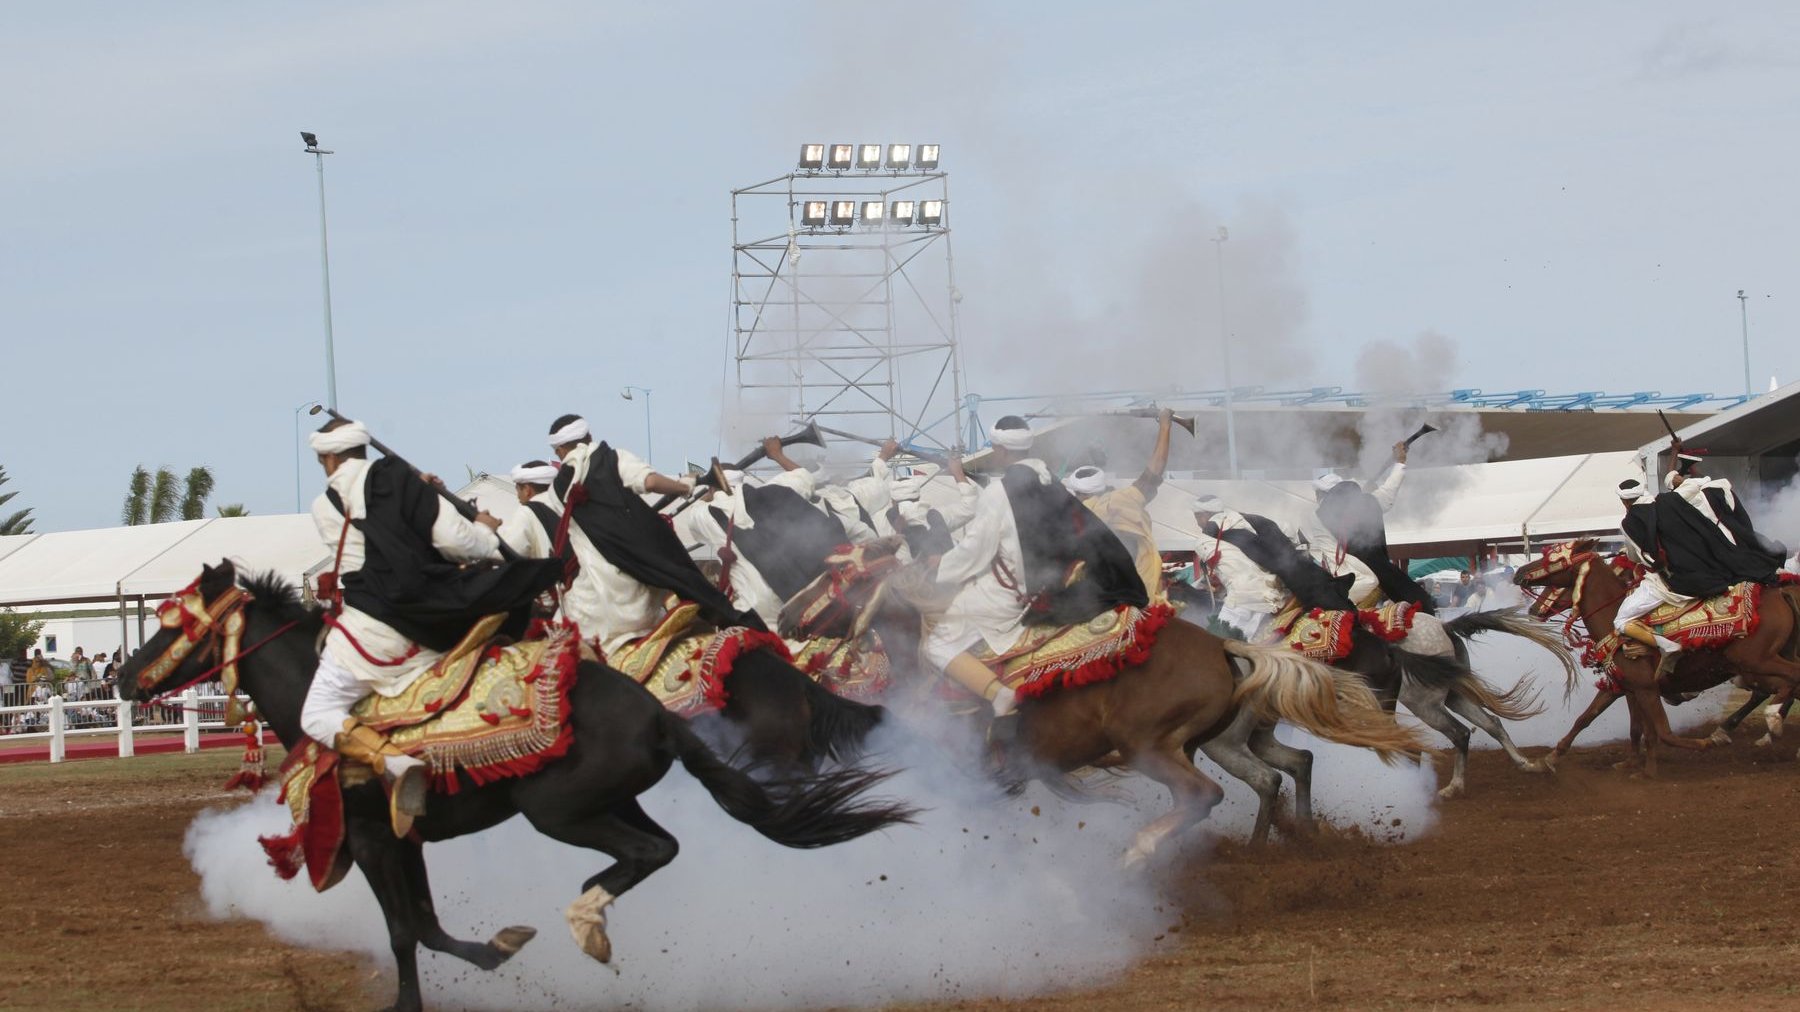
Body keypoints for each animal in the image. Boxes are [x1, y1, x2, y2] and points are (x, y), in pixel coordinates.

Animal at [121, 558, 914, 1008]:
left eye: (172, 624)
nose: (122, 677)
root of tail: (658, 714)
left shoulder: (374, 840)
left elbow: (404, 932)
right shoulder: (406, 842)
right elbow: (428, 926)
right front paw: (500, 947)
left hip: (561, 813)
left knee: (649, 854)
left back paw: (587, 921)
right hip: (611, 802)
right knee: (658, 849)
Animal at [1519, 543, 1800, 770]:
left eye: (1552, 559)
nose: (1519, 573)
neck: (1613, 618)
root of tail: (1781, 592)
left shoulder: (1644, 688)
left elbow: (1660, 732)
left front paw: (1654, 765)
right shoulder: (1623, 686)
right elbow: (1590, 720)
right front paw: (1548, 759)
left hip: (1756, 661)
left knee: (1789, 681)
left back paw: (1770, 721)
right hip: (1759, 666)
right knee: (1784, 686)